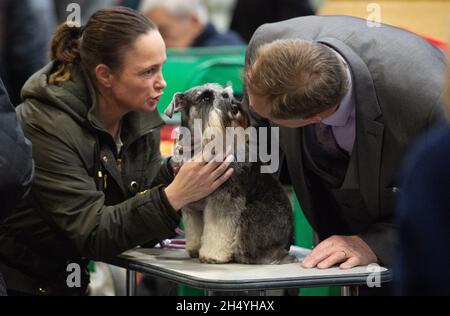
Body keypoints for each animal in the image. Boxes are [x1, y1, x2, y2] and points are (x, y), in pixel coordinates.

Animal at [165, 84, 296, 264]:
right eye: (205, 98)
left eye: (226, 94)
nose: (234, 108)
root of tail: (288, 240)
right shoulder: (191, 205)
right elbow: (195, 228)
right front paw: (194, 248)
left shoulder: (225, 198)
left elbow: (218, 228)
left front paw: (212, 255)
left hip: (251, 215)